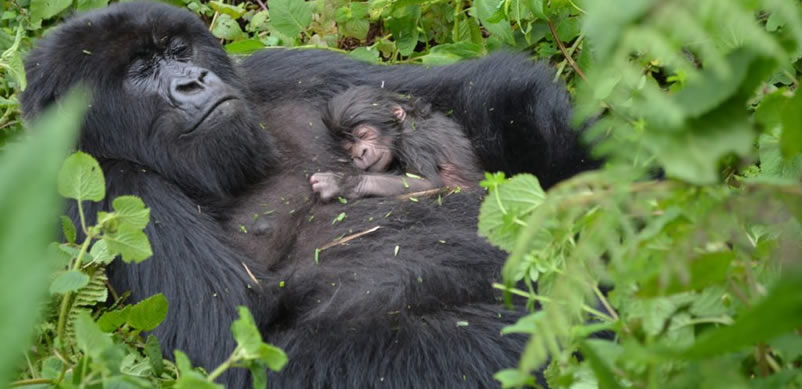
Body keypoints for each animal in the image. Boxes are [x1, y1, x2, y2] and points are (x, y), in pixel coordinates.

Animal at [310, 85, 478, 200]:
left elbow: (428, 184)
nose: (360, 153)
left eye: (364, 134)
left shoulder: (413, 144)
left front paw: (341, 183)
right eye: (349, 148)